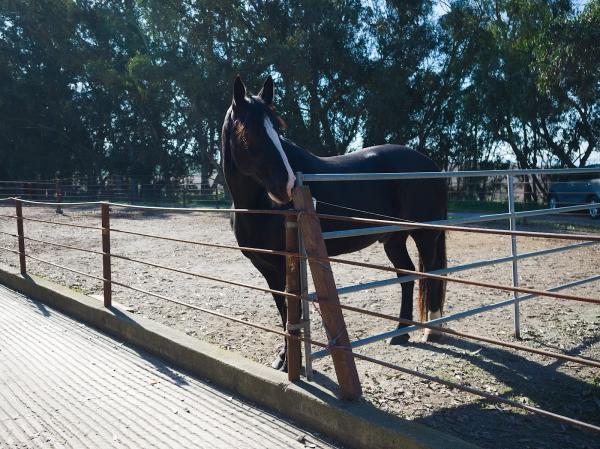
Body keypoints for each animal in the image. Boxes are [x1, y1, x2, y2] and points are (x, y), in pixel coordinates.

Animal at [223, 75, 448, 370]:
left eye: (278, 129)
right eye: (249, 130)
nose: (287, 185)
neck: (258, 204)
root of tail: (430, 165)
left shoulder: (287, 264)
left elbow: (291, 309)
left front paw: (290, 360)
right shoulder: (267, 268)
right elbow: (282, 309)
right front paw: (283, 358)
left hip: (424, 236)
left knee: (431, 274)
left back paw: (431, 329)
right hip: (393, 239)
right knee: (407, 276)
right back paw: (400, 332)